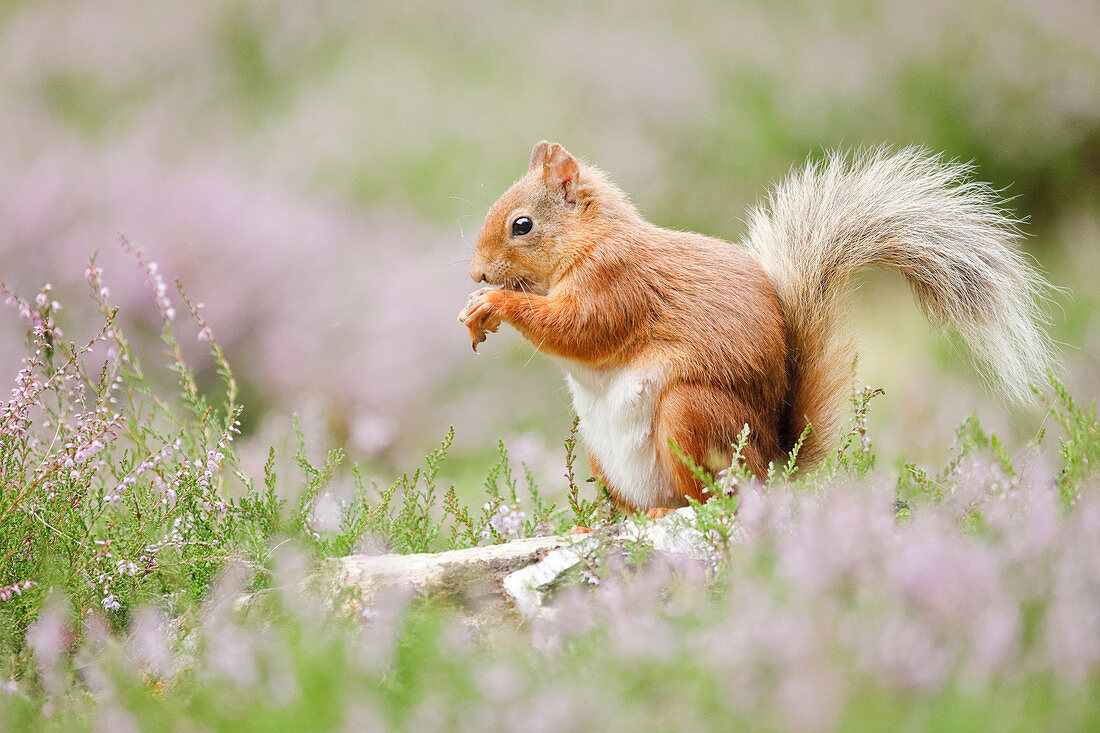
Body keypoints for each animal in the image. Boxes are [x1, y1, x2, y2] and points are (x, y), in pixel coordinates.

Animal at [457, 139, 1056, 510]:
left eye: (522, 225)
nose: (476, 272)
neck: (589, 239)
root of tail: (776, 466)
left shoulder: (616, 283)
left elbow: (580, 328)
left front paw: (494, 304)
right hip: (598, 454)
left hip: (691, 416)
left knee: (707, 501)